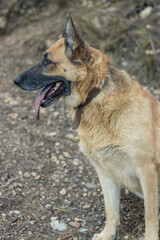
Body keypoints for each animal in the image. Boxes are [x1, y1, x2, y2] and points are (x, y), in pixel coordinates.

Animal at [14, 15, 160, 240]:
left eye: (47, 61)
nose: (15, 81)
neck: (95, 96)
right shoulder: (105, 172)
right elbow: (111, 210)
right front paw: (108, 234)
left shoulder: (147, 169)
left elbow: (150, 215)